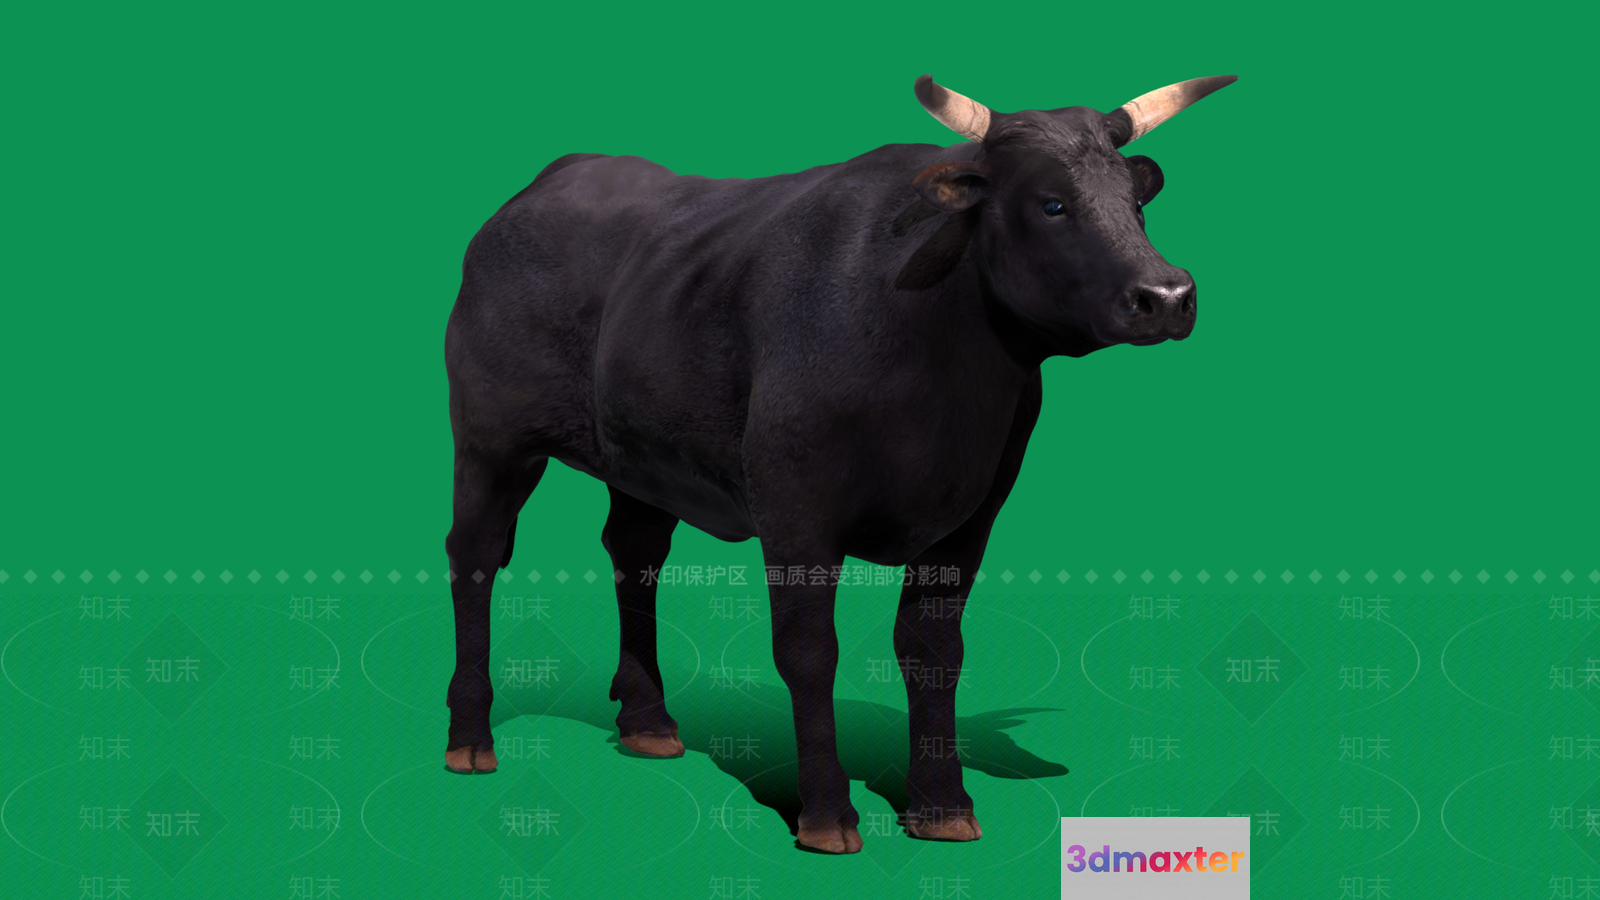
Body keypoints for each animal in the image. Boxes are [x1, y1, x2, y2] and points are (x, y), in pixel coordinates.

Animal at [442, 73, 1235, 853]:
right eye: (1051, 203)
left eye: (1137, 204)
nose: (1167, 294)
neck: (944, 383)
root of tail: (558, 175)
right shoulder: (796, 509)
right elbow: (807, 650)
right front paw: (826, 813)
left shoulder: (972, 514)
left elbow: (933, 649)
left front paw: (942, 807)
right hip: (489, 441)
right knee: (475, 556)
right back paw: (470, 740)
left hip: (640, 460)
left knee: (634, 554)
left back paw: (648, 724)